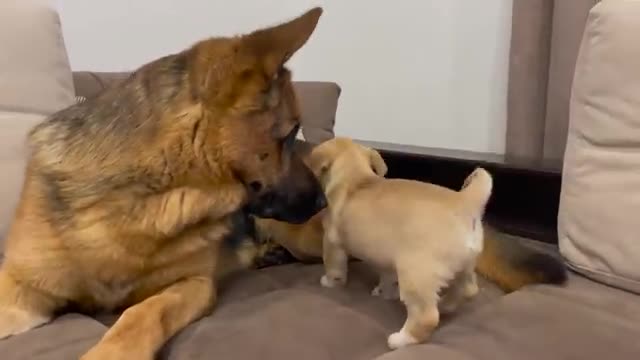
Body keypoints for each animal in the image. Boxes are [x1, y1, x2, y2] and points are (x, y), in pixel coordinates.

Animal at [1, 6, 324, 360]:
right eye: (291, 133)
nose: (323, 201)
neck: (148, 202)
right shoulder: (23, 287)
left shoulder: (194, 283)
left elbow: (146, 312)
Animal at [308, 137, 492, 348]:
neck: (357, 179)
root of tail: (466, 201)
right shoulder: (386, 259)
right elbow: (387, 278)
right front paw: (384, 292)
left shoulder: (332, 245)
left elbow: (334, 270)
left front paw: (329, 282)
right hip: (465, 266)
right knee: (468, 289)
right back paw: (445, 305)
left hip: (415, 275)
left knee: (426, 316)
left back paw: (401, 339)